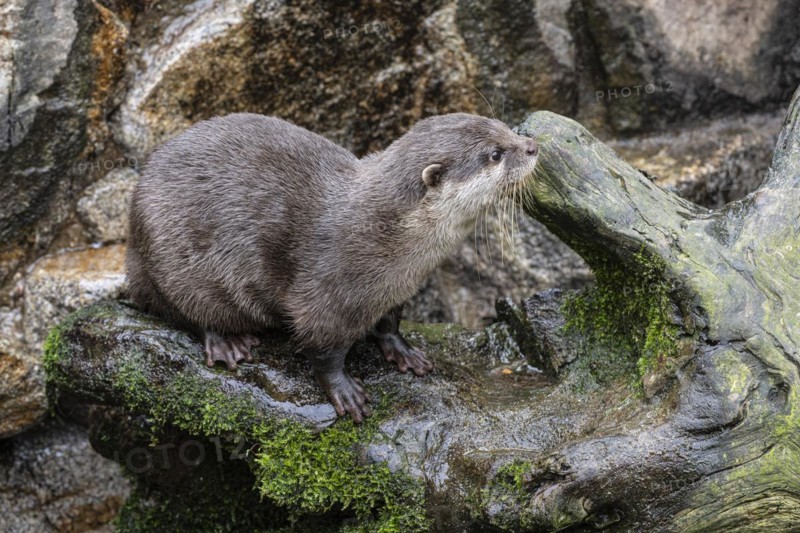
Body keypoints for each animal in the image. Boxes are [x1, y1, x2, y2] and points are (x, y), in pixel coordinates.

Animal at [126, 113, 538, 422]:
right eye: (495, 154)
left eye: (504, 126)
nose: (533, 146)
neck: (387, 235)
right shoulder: (328, 293)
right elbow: (322, 349)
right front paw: (344, 391)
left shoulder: (397, 290)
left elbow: (390, 323)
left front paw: (403, 352)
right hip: (171, 262)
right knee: (185, 309)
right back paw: (227, 342)